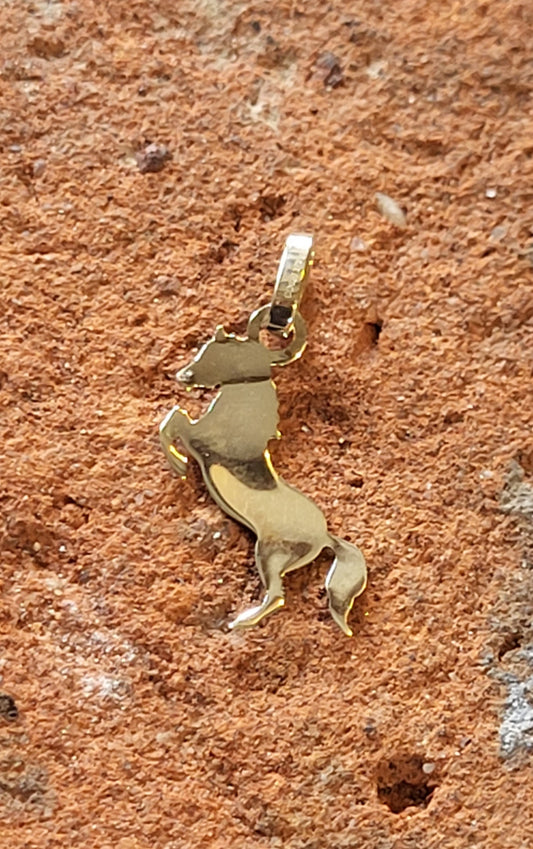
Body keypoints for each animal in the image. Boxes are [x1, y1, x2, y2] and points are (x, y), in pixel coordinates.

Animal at [159, 321, 367, 635]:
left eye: (216, 354)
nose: (182, 376)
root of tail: (324, 536)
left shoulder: (199, 441)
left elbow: (173, 420)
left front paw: (179, 465)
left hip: (269, 555)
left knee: (277, 596)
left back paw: (241, 620)